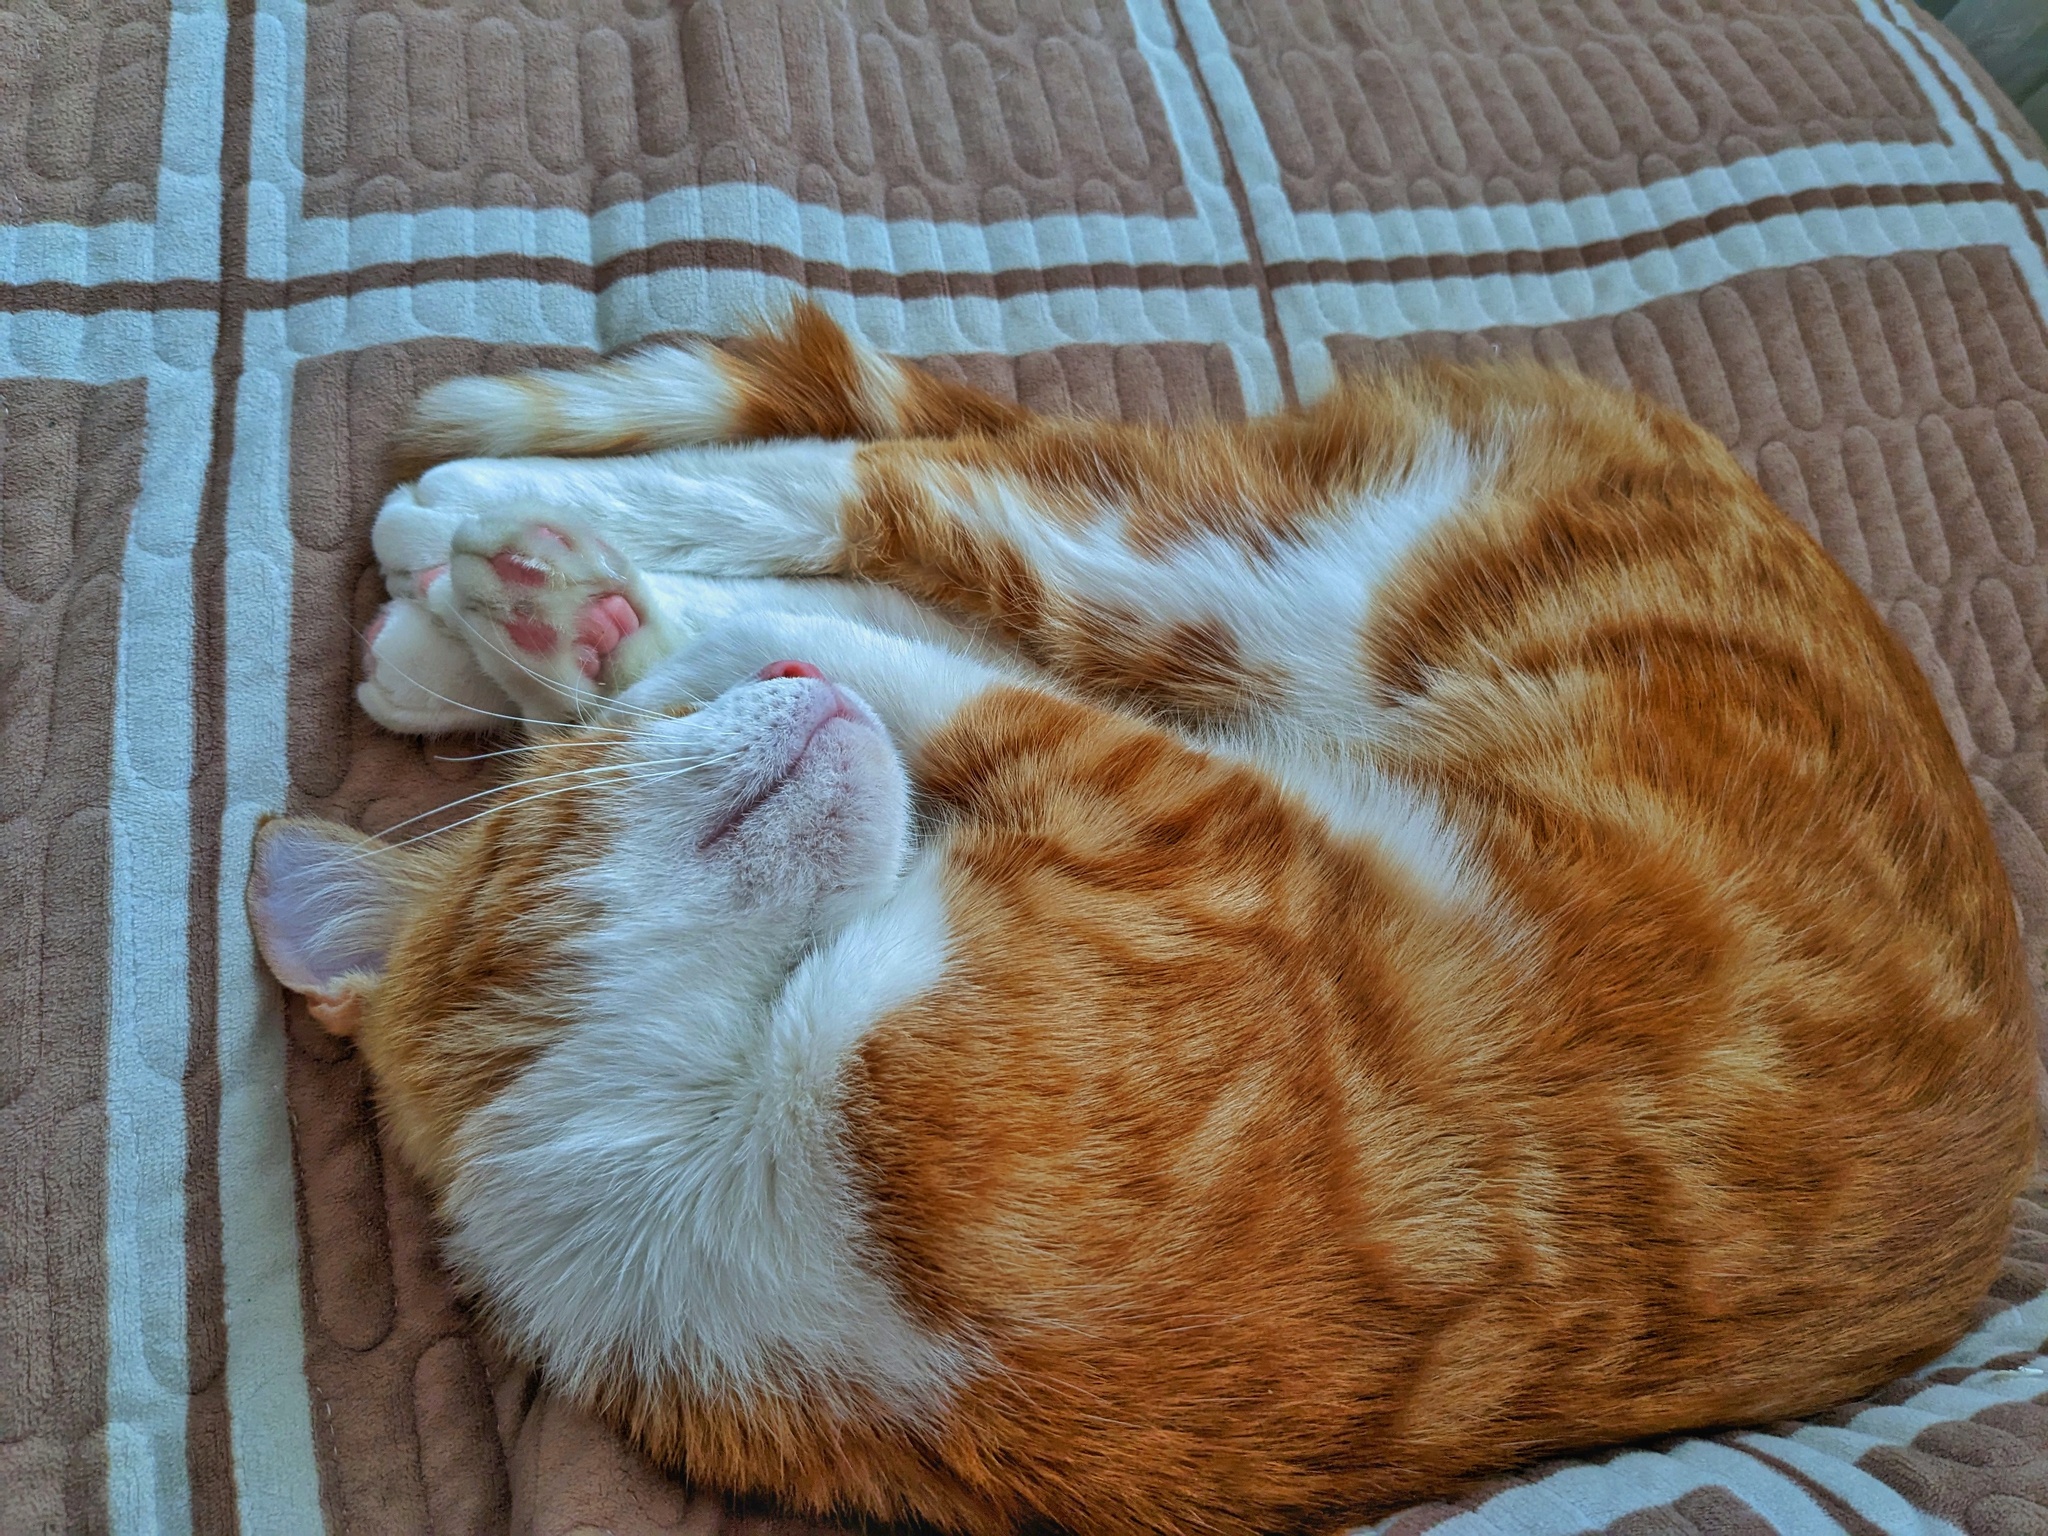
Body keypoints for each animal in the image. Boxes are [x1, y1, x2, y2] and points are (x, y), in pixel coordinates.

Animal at [248, 302, 2037, 1536]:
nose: (783, 701)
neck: (731, 1139)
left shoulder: (1154, 806)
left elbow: (874, 664)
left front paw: (579, 632)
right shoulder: (1167, 809)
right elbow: (889, 671)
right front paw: (589, 641)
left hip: (1207, 595)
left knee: (883, 486)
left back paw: (470, 539)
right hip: (1192, 598)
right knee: (920, 505)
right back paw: (480, 572)